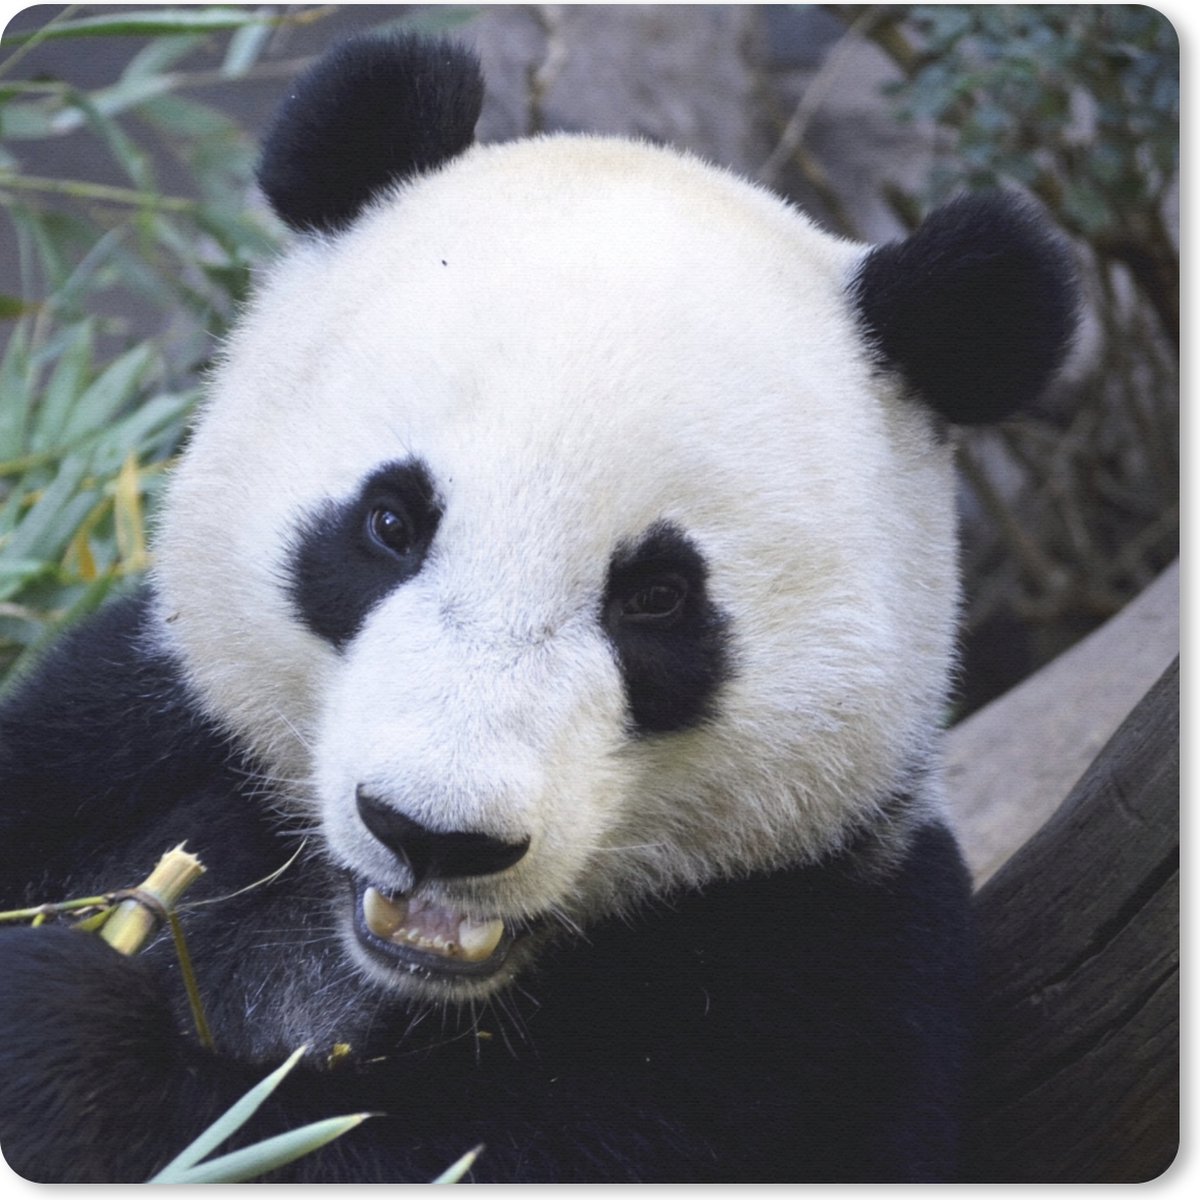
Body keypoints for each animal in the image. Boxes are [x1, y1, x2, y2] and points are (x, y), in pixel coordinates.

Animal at [0, 34, 1076, 1184]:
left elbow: (429, 1147)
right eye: (391, 524)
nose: (435, 835)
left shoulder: (824, 966)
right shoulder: (135, 732)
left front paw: (66, 1036)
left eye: (658, 599)